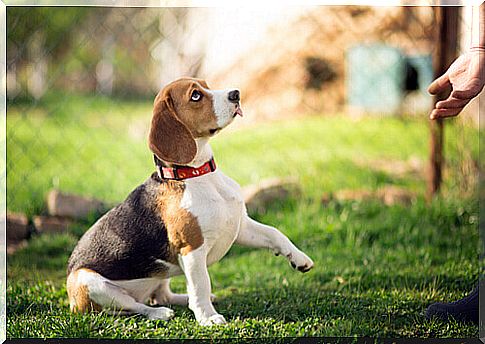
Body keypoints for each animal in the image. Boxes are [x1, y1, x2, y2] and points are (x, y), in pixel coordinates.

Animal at [66, 77, 314, 326]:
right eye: (196, 96)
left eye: (206, 85)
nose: (236, 94)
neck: (198, 174)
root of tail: (72, 303)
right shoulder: (192, 248)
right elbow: (201, 284)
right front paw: (208, 317)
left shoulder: (240, 226)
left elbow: (275, 233)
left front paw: (299, 258)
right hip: (89, 282)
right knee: (132, 307)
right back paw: (159, 313)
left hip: (160, 276)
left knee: (161, 296)